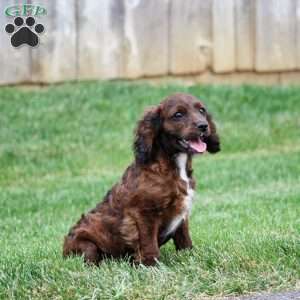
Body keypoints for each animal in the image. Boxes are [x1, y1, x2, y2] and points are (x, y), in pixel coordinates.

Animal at [63, 93, 219, 264]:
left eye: (202, 110)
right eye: (178, 115)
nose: (203, 126)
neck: (171, 167)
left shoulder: (182, 213)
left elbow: (184, 237)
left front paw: (189, 255)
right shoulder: (143, 213)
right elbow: (148, 241)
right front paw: (151, 264)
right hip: (86, 243)